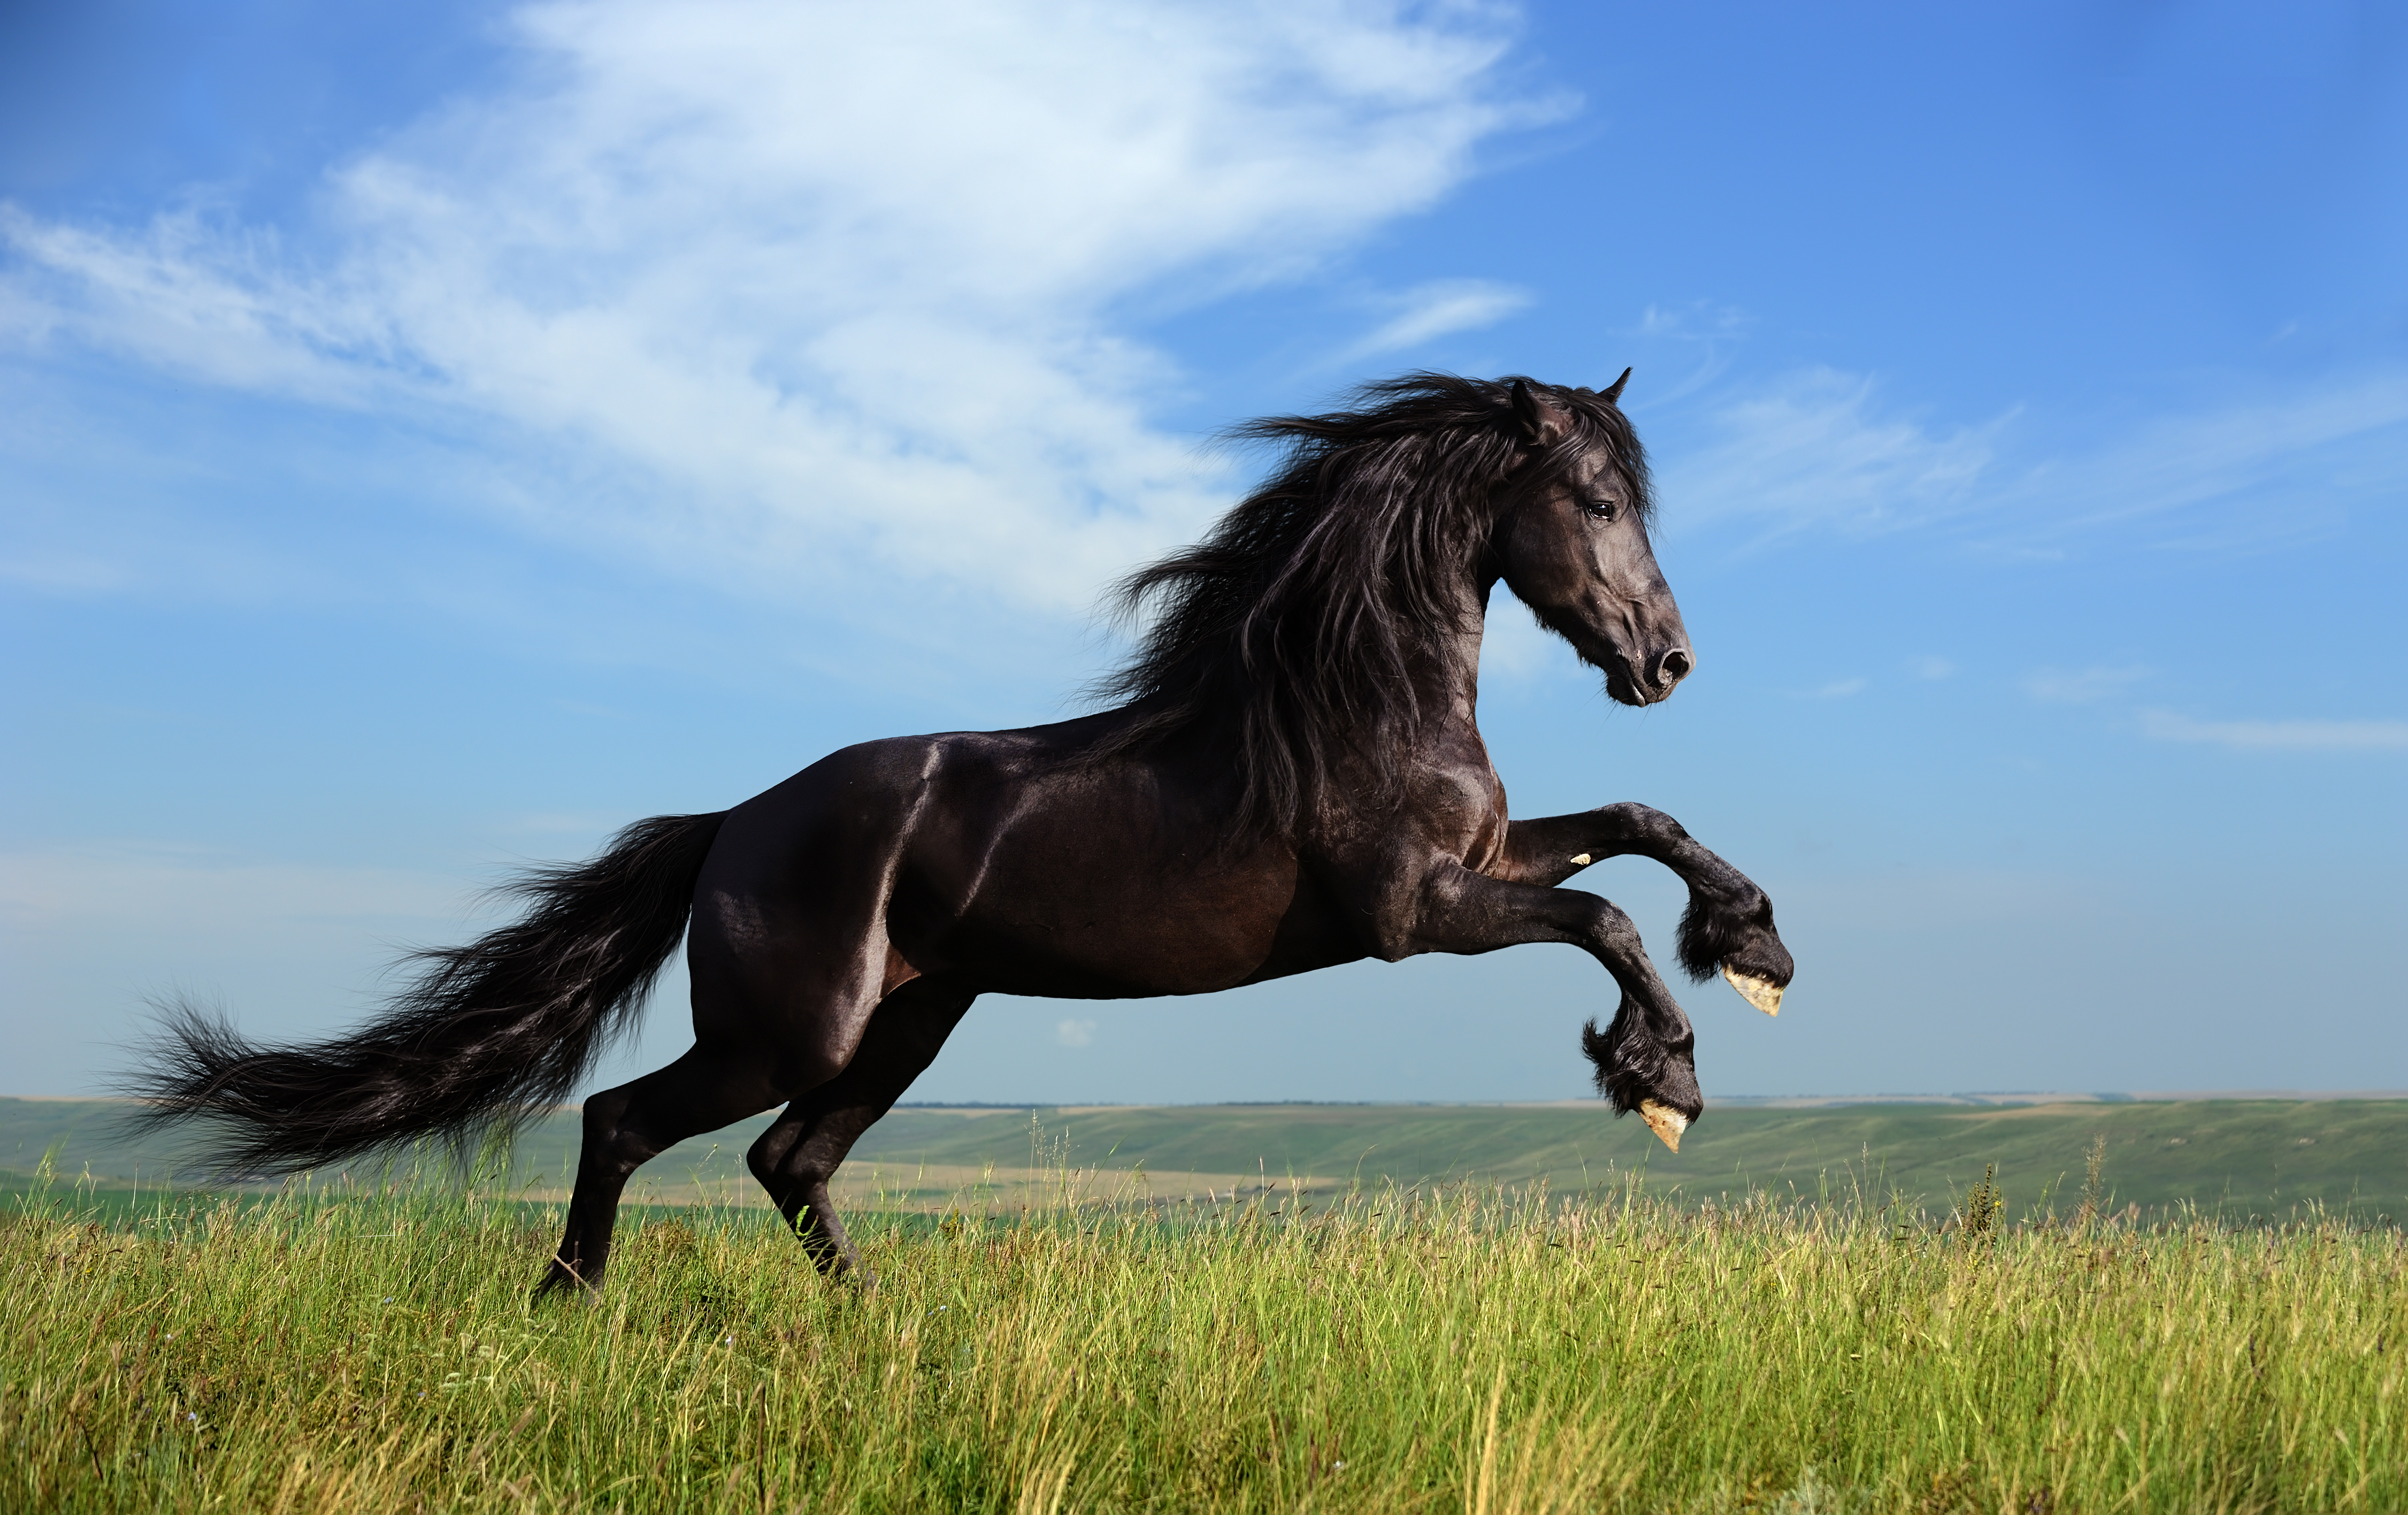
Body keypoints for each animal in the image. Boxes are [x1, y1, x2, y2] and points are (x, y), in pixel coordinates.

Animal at [130, 372, 1795, 1295]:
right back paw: (569, 1304)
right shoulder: (1411, 913)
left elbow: (1638, 825)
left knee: (789, 1161)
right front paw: (1661, 1078)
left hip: (912, 1021)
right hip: (790, 1028)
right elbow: (1602, 915)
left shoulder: (1482, 863)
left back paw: (873, 1324)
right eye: (1594, 500)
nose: (1664, 663)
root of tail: (729, 826)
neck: (1351, 697)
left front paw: (1754, 947)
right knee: (628, 1124)